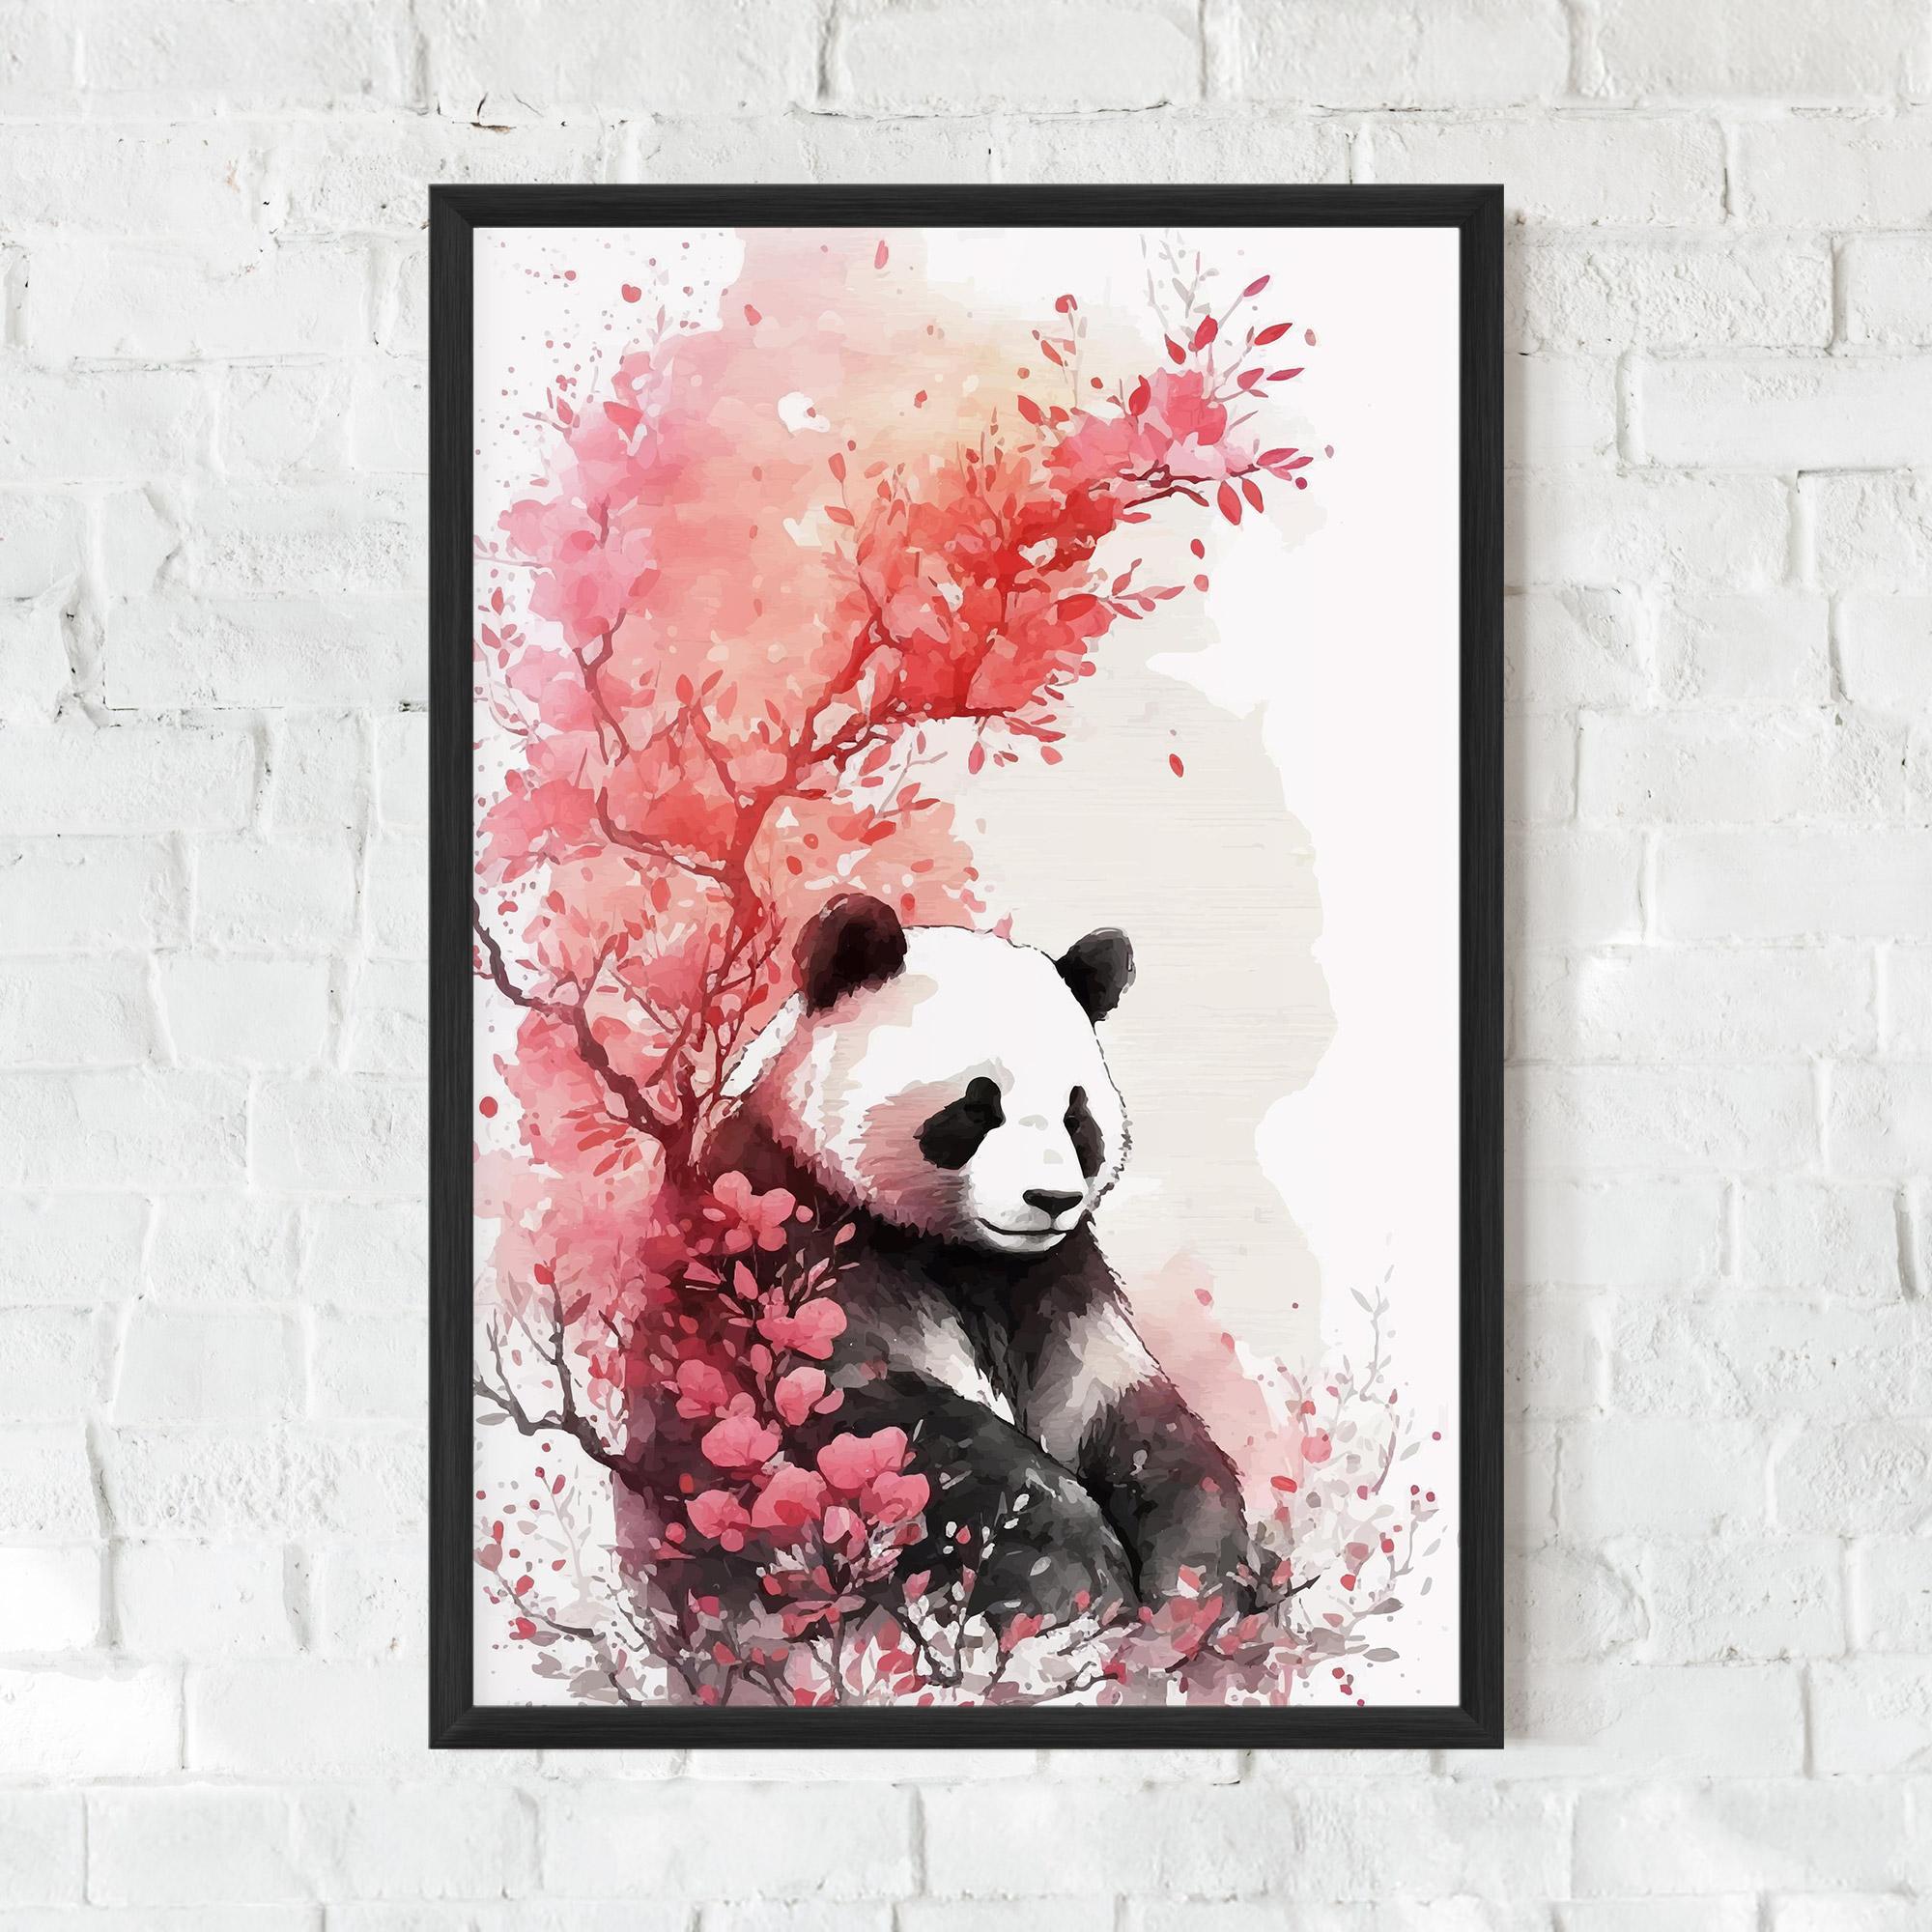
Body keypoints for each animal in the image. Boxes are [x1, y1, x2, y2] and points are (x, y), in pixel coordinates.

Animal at [710, 891, 1252, 1626]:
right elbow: (883, 1420)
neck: (962, 1252)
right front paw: (1076, 1582)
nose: (1051, 1199)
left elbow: (1130, 1416)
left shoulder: (1058, 1285)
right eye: (976, 1106)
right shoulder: (790, 1246)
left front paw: (1196, 1587)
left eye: (1076, 1116)